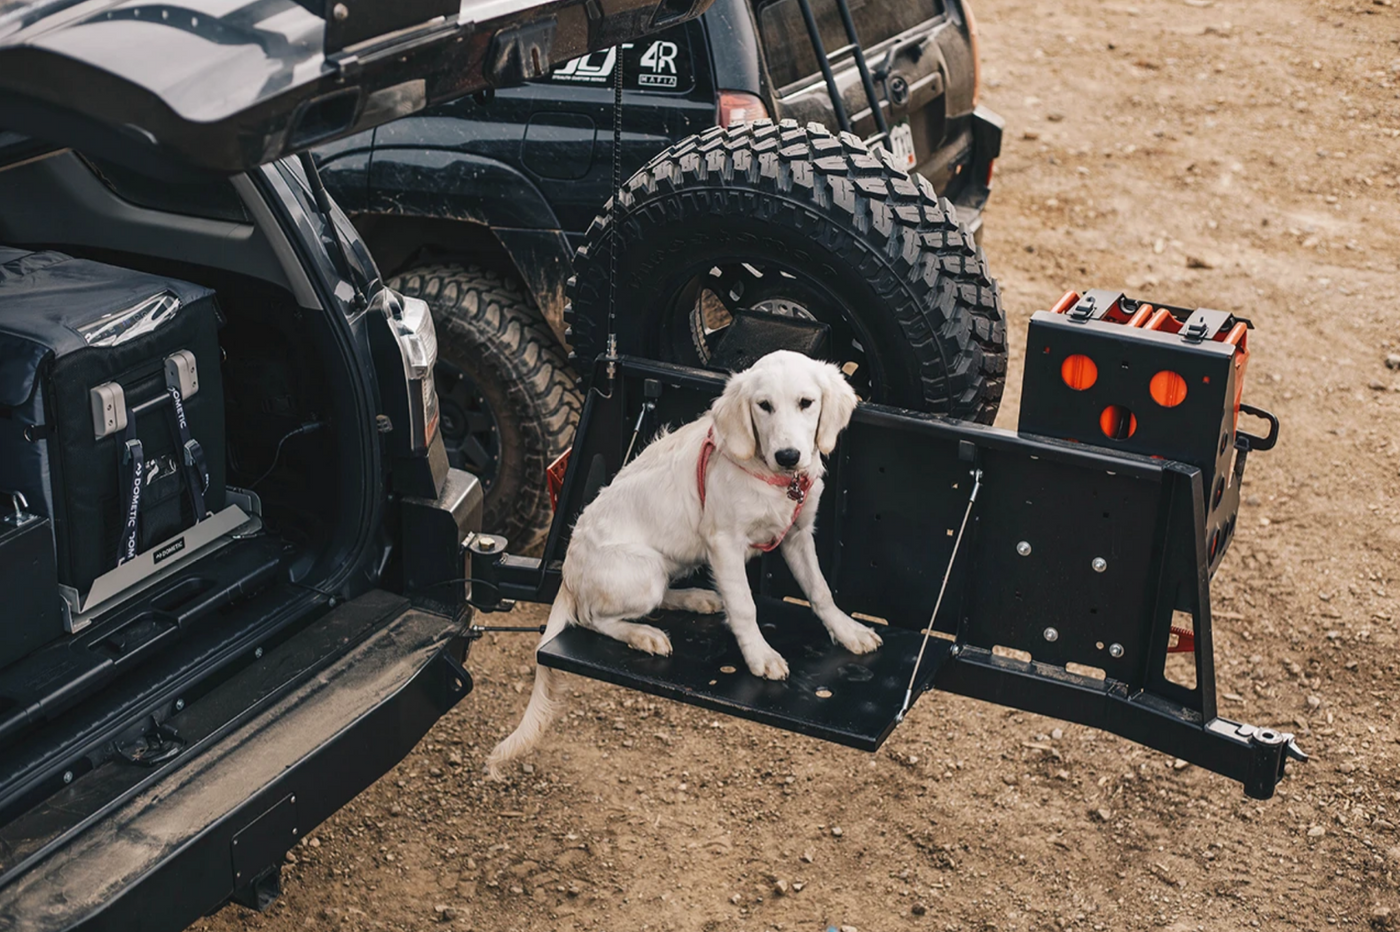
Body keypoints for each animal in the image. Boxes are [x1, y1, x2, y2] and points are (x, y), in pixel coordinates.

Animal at [487, 352, 879, 772]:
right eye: (764, 406)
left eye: (807, 402)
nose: (788, 457)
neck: (770, 479)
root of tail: (568, 576)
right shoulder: (724, 542)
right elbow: (745, 606)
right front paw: (761, 655)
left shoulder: (797, 535)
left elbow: (820, 591)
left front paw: (849, 631)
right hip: (643, 571)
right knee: (593, 617)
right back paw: (644, 634)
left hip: (666, 566)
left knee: (657, 597)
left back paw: (695, 598)